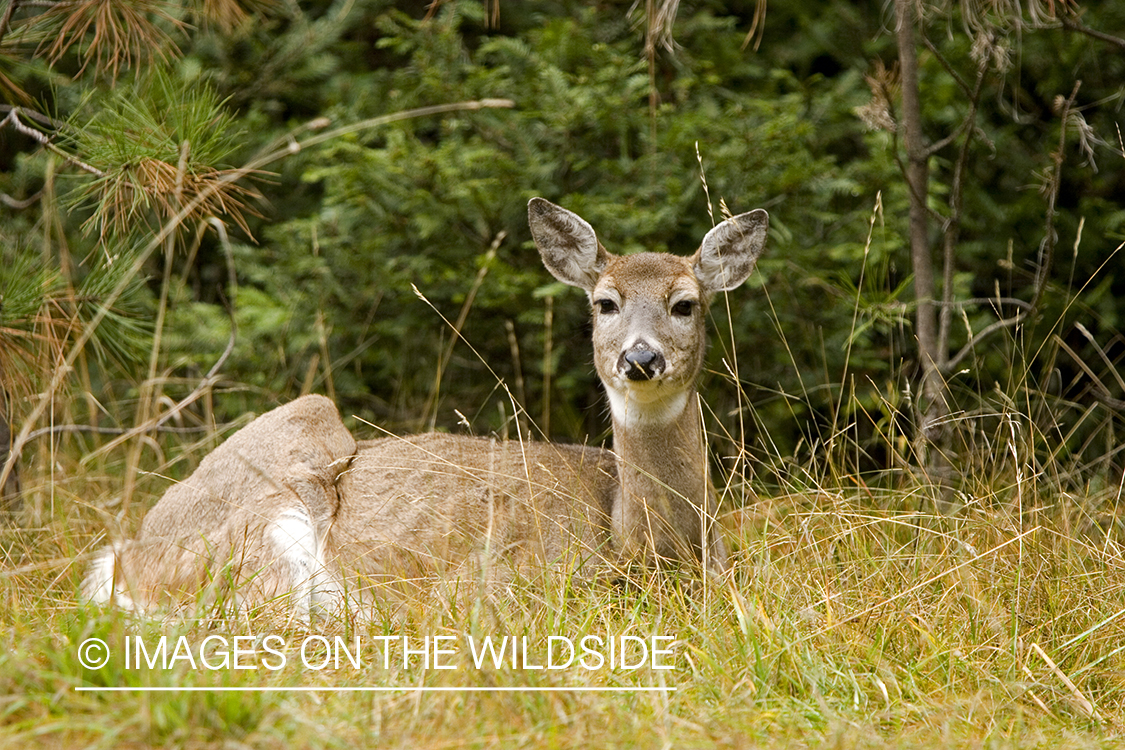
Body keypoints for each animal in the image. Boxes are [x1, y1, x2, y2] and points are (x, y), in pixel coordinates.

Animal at [83, 197, 769, 616]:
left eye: (685, 304)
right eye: (604, 303)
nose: (641, 358)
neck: (639, 544)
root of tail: (127, 552)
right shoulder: (503, 585)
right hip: (270, 506)